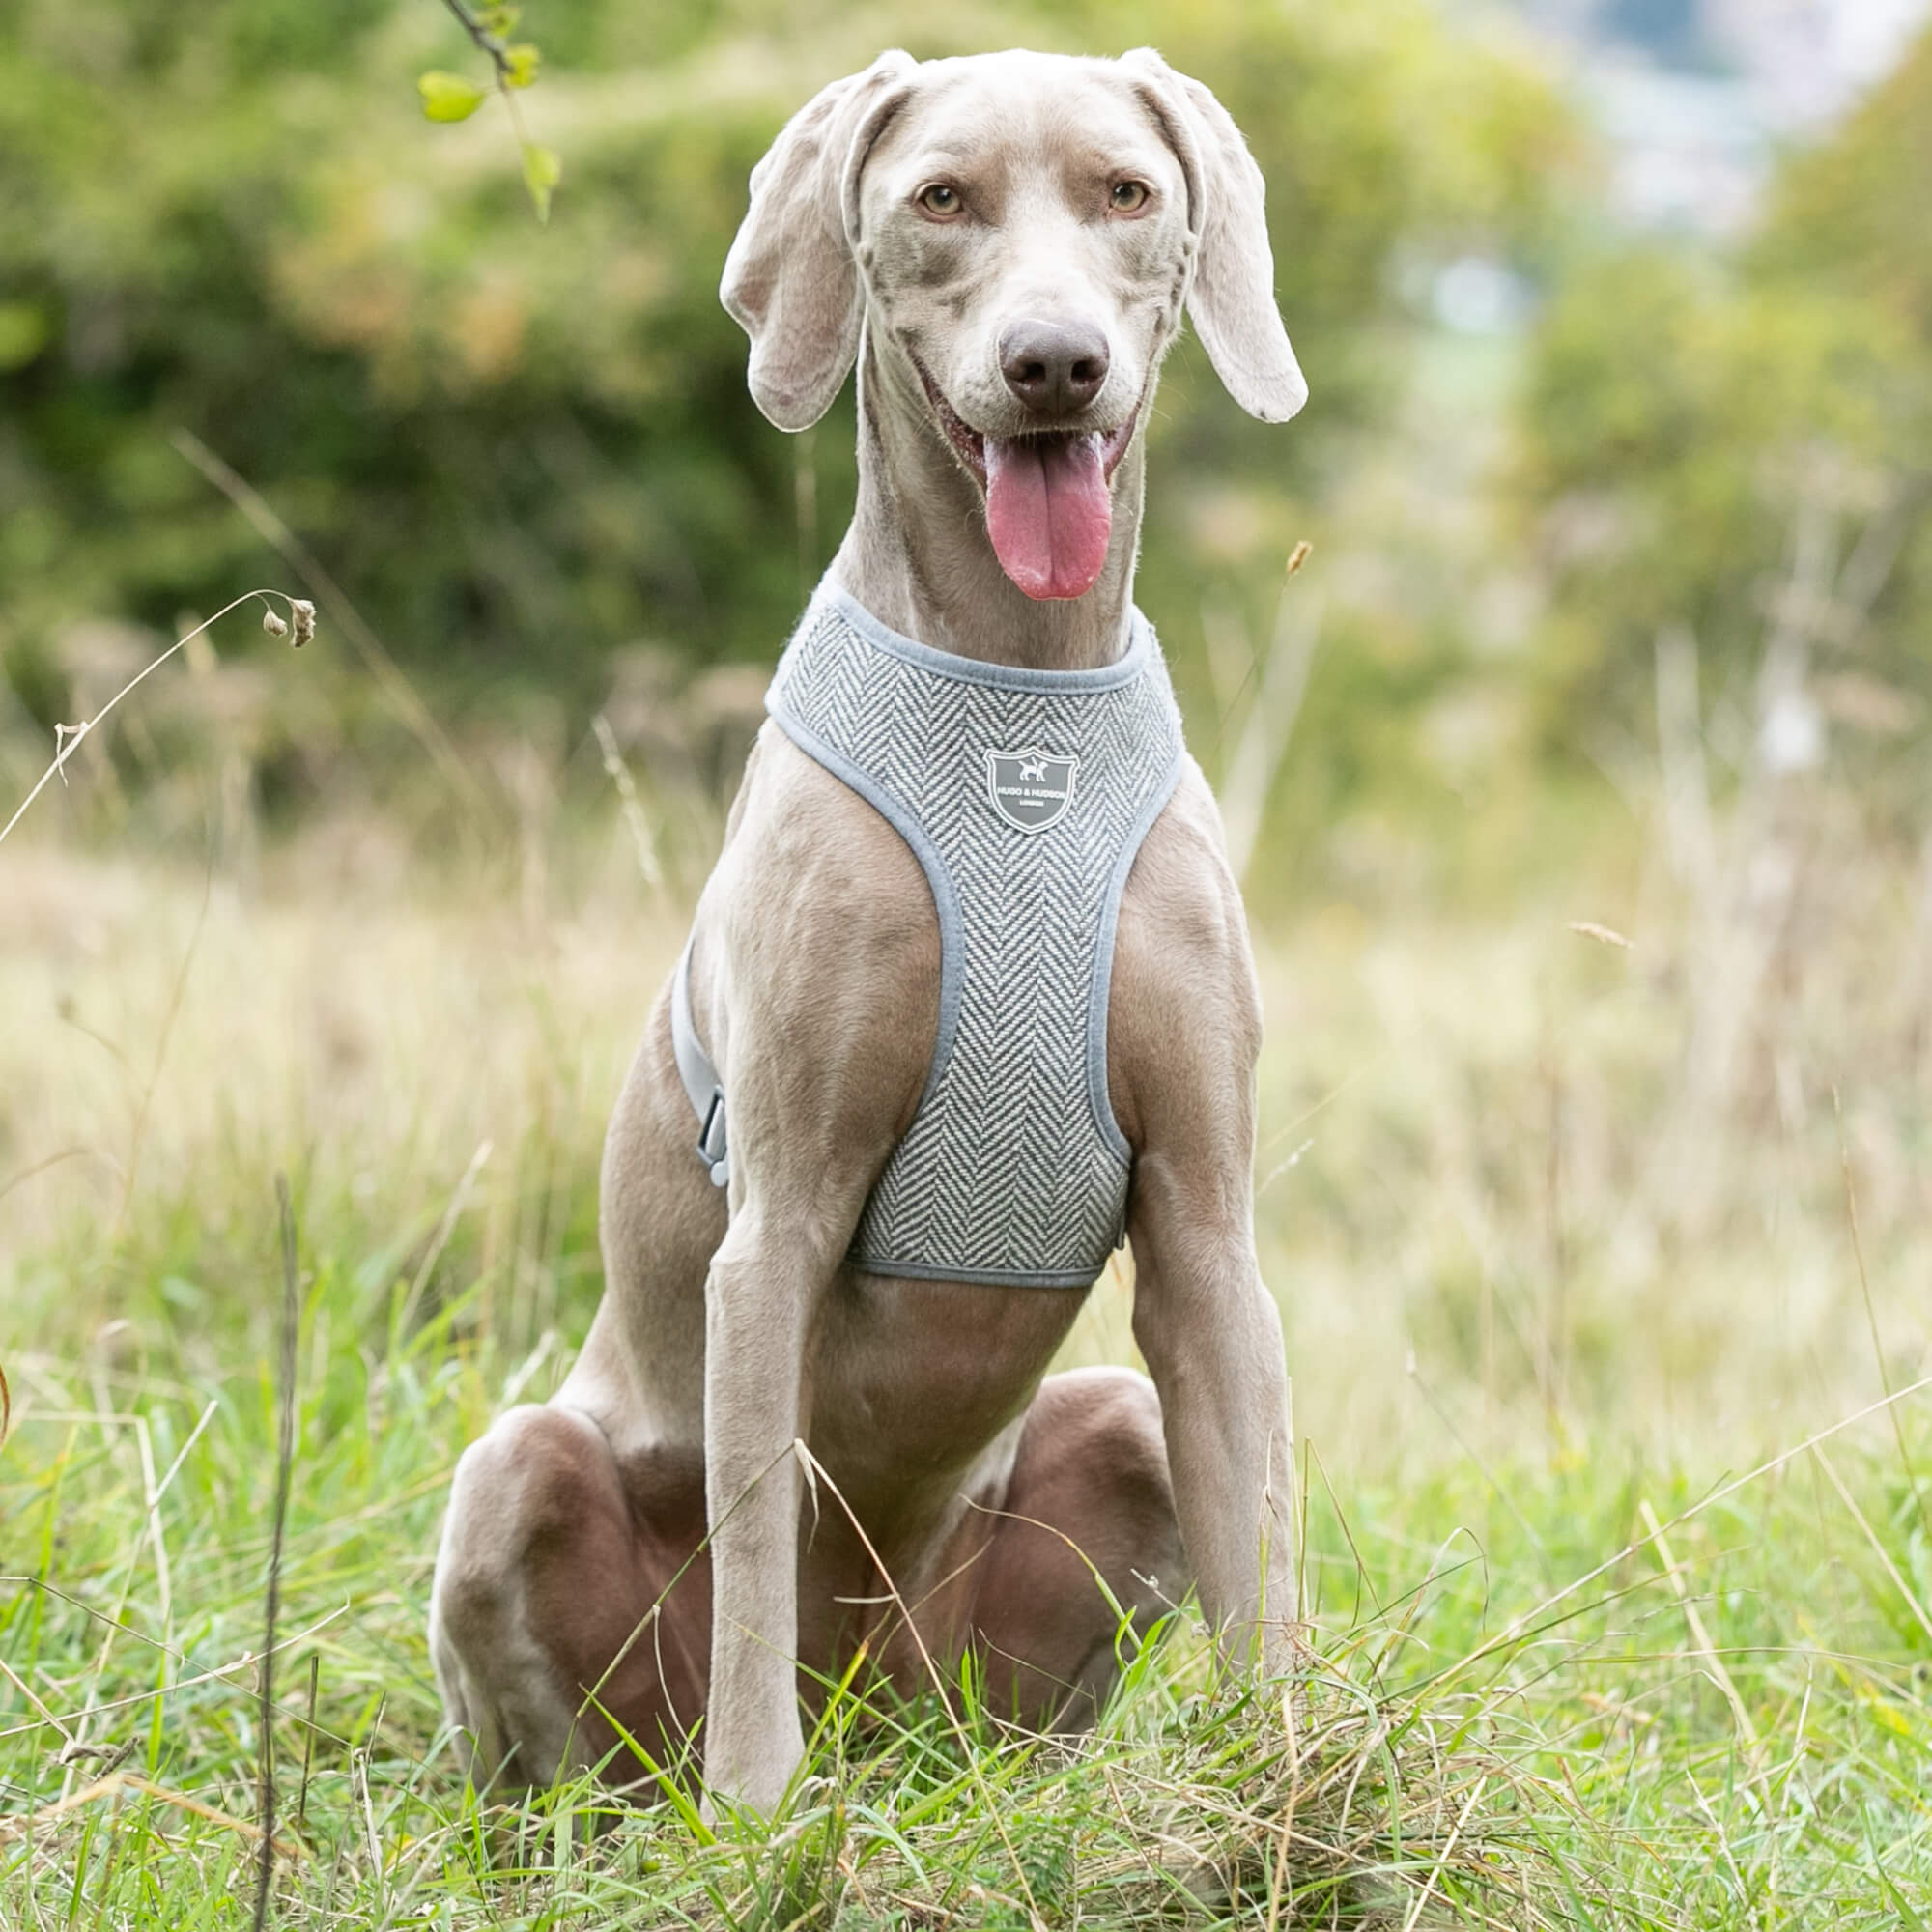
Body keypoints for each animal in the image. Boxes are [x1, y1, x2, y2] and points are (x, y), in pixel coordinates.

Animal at [431, 48, 1306, 1824]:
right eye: (940, 199)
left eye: (1126, 192)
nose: (1055, 364)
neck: (1020, 706)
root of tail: (879, 1718)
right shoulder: (775, 1228)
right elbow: (761, 1525)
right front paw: (762, 1826)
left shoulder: (1207, 1226)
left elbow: (1259, 1540)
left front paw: (1286, 1805)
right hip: (520, 1482)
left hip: (1082, 1481)